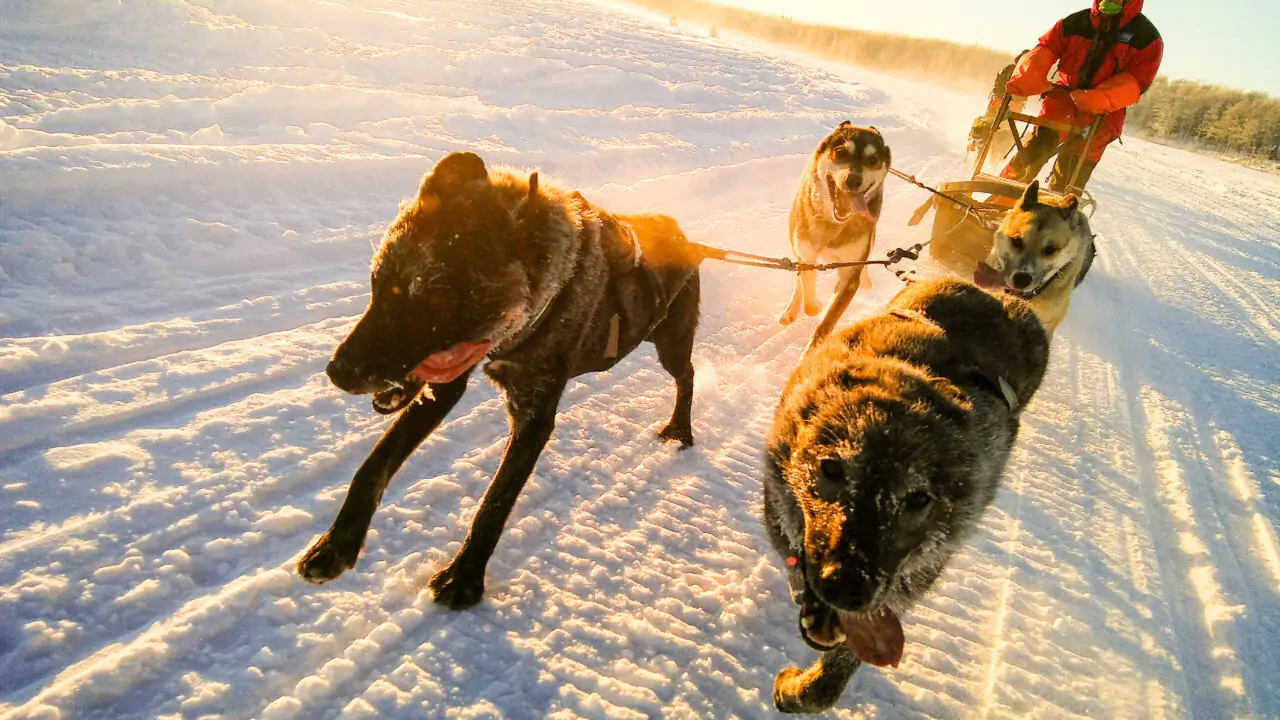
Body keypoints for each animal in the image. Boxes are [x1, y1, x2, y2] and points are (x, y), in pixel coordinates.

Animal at [295, 151, 706, 604]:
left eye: (433, 296)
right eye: (377, 283)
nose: (337, 371)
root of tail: (682, 234)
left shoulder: (533, 416)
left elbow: (495, 501)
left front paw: (463, 578)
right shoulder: (446, 384)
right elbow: (374, 464)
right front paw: (335, 545)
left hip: (671, 343)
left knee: (686, 375)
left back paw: (680, 428)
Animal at [778, 122, 890, 351]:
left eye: (873, 160)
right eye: (840, 152)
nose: (853, 180)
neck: (833, 224)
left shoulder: (849, 274)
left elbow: (826, 323)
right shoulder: (806, 255)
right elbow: (808, 295)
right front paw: (814, 304)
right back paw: (791, 310)